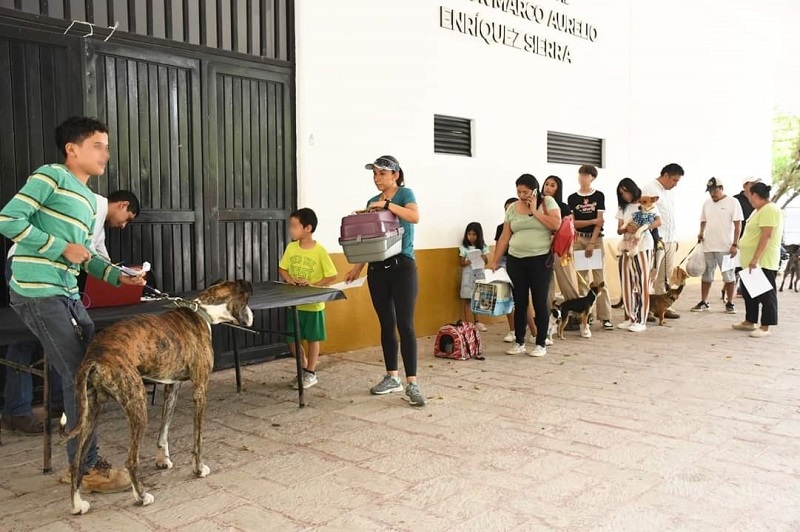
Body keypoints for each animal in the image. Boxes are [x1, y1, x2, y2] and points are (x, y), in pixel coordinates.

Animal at [60, 278, 252, 516]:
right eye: (247, 300)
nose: (252, 316)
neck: (203, 312)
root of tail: (95, 356)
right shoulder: (201, 390)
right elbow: (197, 439)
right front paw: (198, 469)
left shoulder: (172, 387)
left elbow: (164, 430)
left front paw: (163, 460)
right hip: (137, 403)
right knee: (131, 460)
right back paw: (142, 497)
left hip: (90, 411)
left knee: (77, 461)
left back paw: (77, 505)